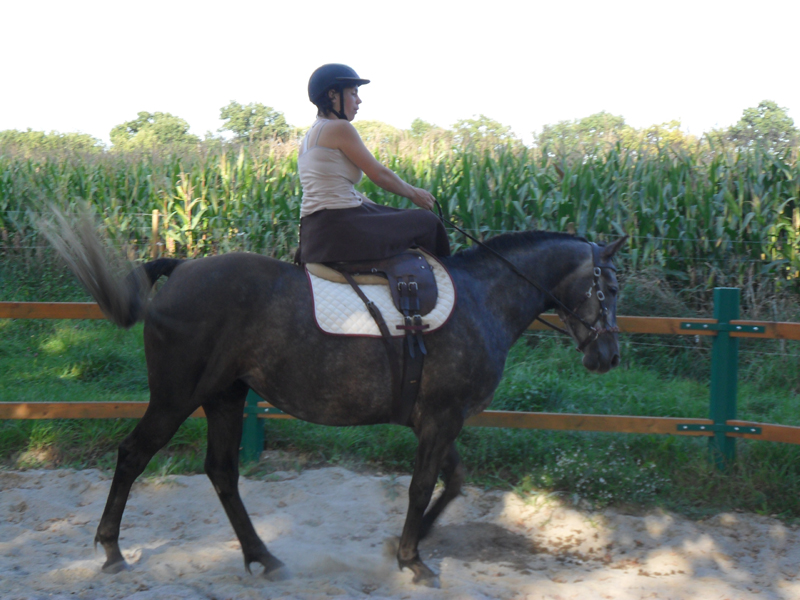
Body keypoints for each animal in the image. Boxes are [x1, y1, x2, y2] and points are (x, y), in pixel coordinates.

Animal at [45, 213, 624, 588]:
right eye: (612, 288)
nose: (609, 355)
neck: (483, 299)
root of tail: (184, 267)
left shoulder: (439, 420)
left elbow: (454, 481)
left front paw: (405, 546)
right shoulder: (440, 419)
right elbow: (420, 488)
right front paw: (412, 559)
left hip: (225, 397)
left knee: (222, 473)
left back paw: (264, 558)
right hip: (176, 397)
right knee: (133, 456)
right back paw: (113, 550)